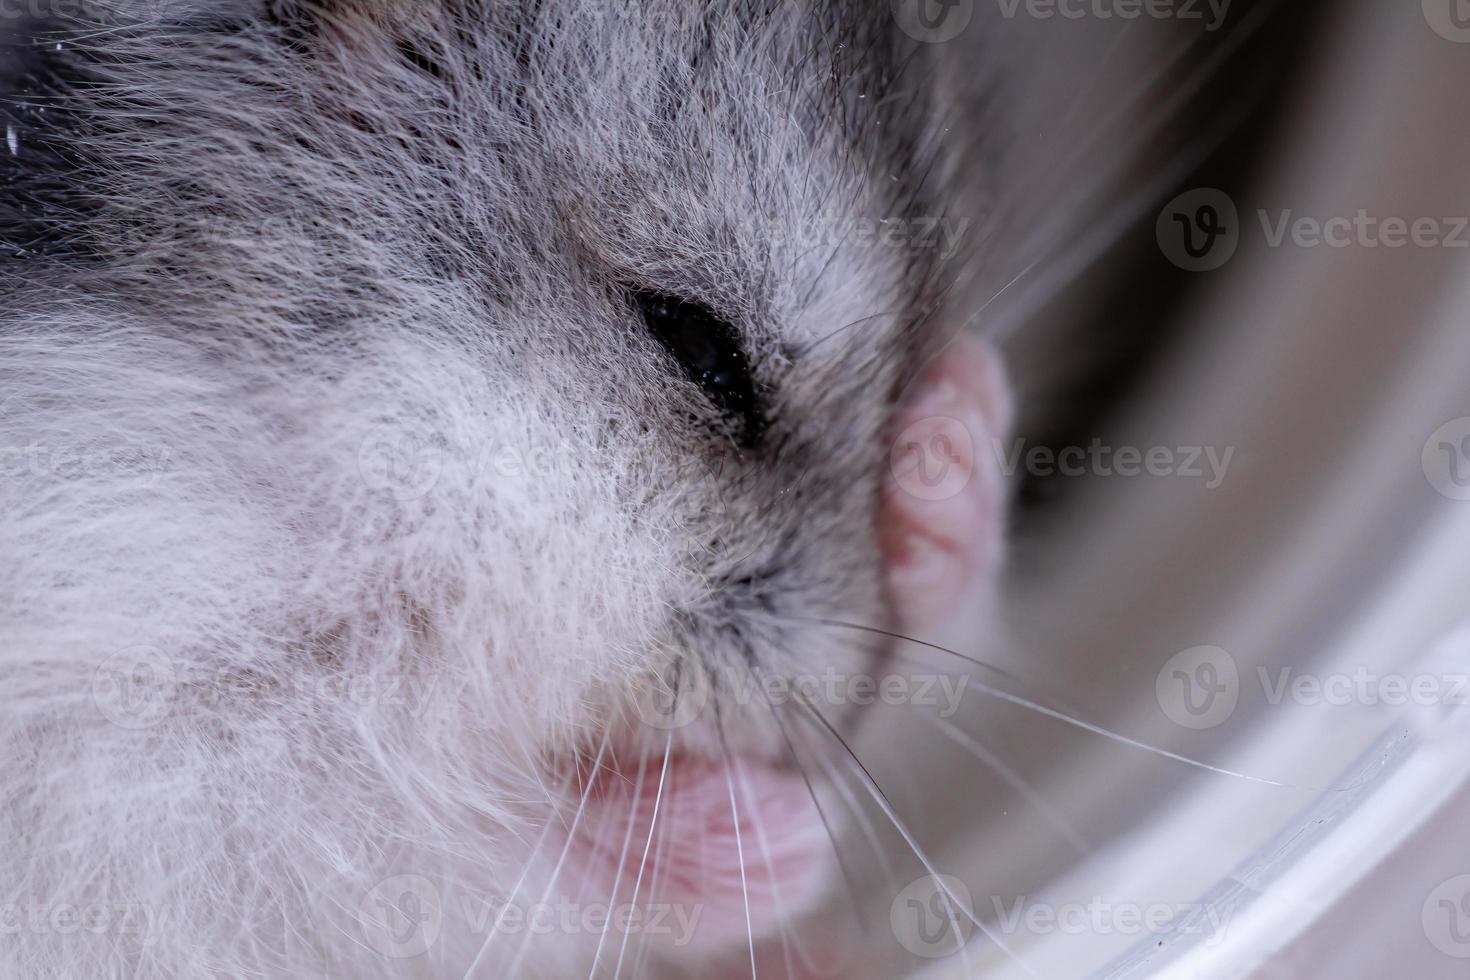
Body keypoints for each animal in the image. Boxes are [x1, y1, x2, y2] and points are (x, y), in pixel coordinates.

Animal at [0, 3, 1011, 975]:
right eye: (696, 344)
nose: (831, 723)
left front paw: (954, 432)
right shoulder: (103, 718)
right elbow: (402, 834)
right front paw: (785, 831)